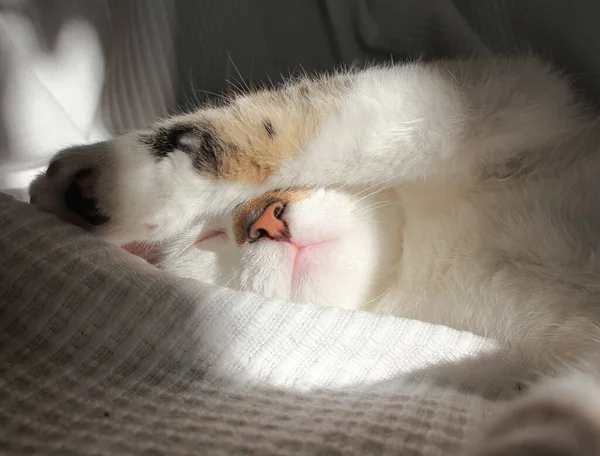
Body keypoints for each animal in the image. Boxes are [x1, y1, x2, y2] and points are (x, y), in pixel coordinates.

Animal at [29, 58, 600, 456]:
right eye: (207, 237)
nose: (264, 219)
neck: (429, 249)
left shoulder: (497, 95)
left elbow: (310, 120)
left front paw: (116, 183)